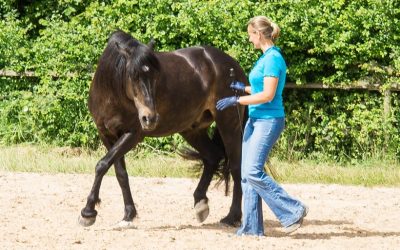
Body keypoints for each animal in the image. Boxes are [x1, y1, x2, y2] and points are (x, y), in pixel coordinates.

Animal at [78, 29, 247, 229]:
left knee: (235, 166)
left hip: (229, 123)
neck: (112, 94)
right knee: (212, 157)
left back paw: (232, 216)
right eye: (132, 75)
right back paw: (200, 204)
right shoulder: (107, 135)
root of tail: (234, 66)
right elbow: (119, 173)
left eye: (156, 76)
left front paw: (88, 212)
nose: (150, 118)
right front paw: (128, 214)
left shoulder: (132, 134)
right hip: (192, 129)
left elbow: (102, 165)